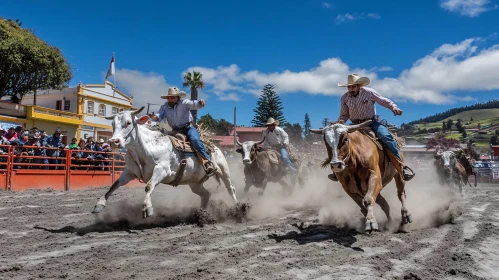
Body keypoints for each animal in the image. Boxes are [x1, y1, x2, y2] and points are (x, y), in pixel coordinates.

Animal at [93, 107, 239, 219]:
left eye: (128, 123)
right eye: (113, 124)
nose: (113, 142)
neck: (144, 149)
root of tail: (214, 147)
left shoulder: (162, 170)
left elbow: (149, 186)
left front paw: (147, 208)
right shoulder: (129, 172)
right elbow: (115, 185)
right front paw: (99, 204)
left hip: (223, 170)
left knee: (231, 188)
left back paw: (237, 208)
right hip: (195, 183)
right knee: (206, 194)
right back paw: (202, 213)